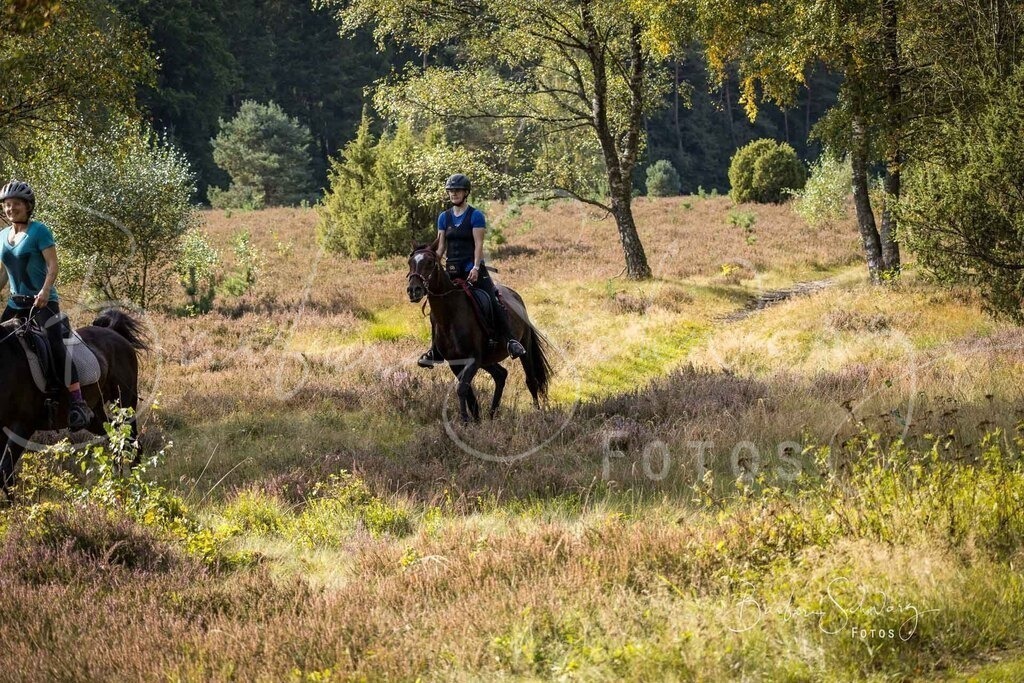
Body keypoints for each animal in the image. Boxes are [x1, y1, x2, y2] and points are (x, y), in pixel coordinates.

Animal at [0, 309, 148, 498]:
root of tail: (113, 332)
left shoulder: (23, 425)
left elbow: (5, 470)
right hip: (95, 414)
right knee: (115, 438)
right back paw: (117, 480)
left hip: (125, 403)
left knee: (133, 443)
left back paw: (137, 484)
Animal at [406, 243, 552, 422]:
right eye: (410, 262)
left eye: (429, 262)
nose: (413, 290)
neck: (450, 314)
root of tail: (516, 296)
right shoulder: (455, 362)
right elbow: (467, 390)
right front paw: (475, 420)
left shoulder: (473, 359)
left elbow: (462, 388)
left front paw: (465, 421)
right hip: (487, 359)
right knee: (501, 375)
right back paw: (492, 414)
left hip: (524, 346)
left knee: (531, 380)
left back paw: (537, 414)